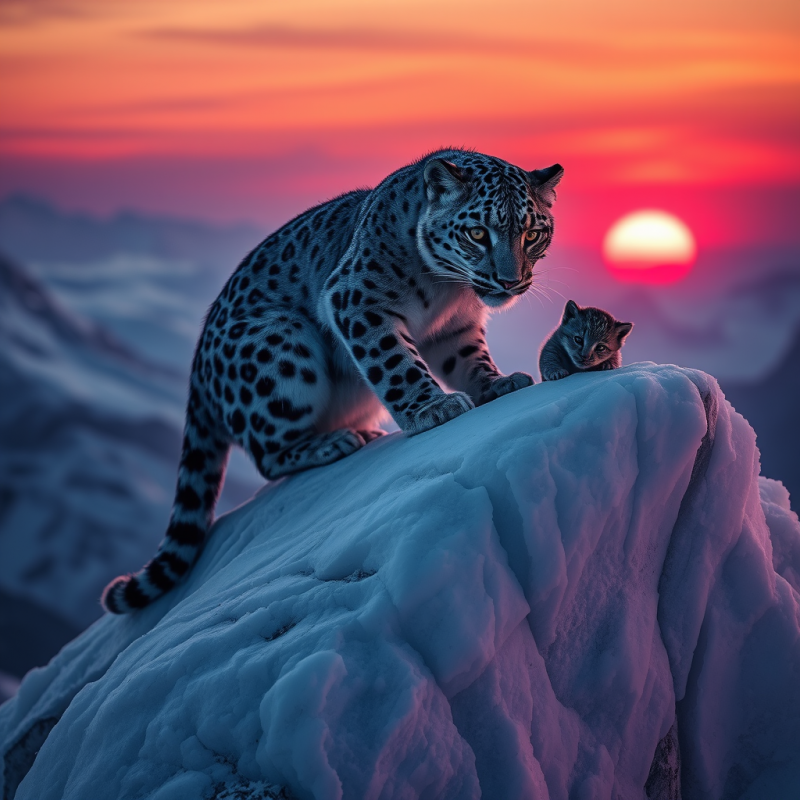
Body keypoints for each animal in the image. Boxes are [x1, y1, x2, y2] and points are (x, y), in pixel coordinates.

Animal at [102, 149, 563, 613]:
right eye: (477, 232)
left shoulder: (458, 326)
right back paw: (335, 442)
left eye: (533, 234)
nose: (510, 281)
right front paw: (433, 408)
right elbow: (395, 362)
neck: (449, 293)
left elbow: (469, 360)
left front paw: (497, 383)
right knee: (268, 453)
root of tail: (197, 371)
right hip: (282, 346)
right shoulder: (358, 301)